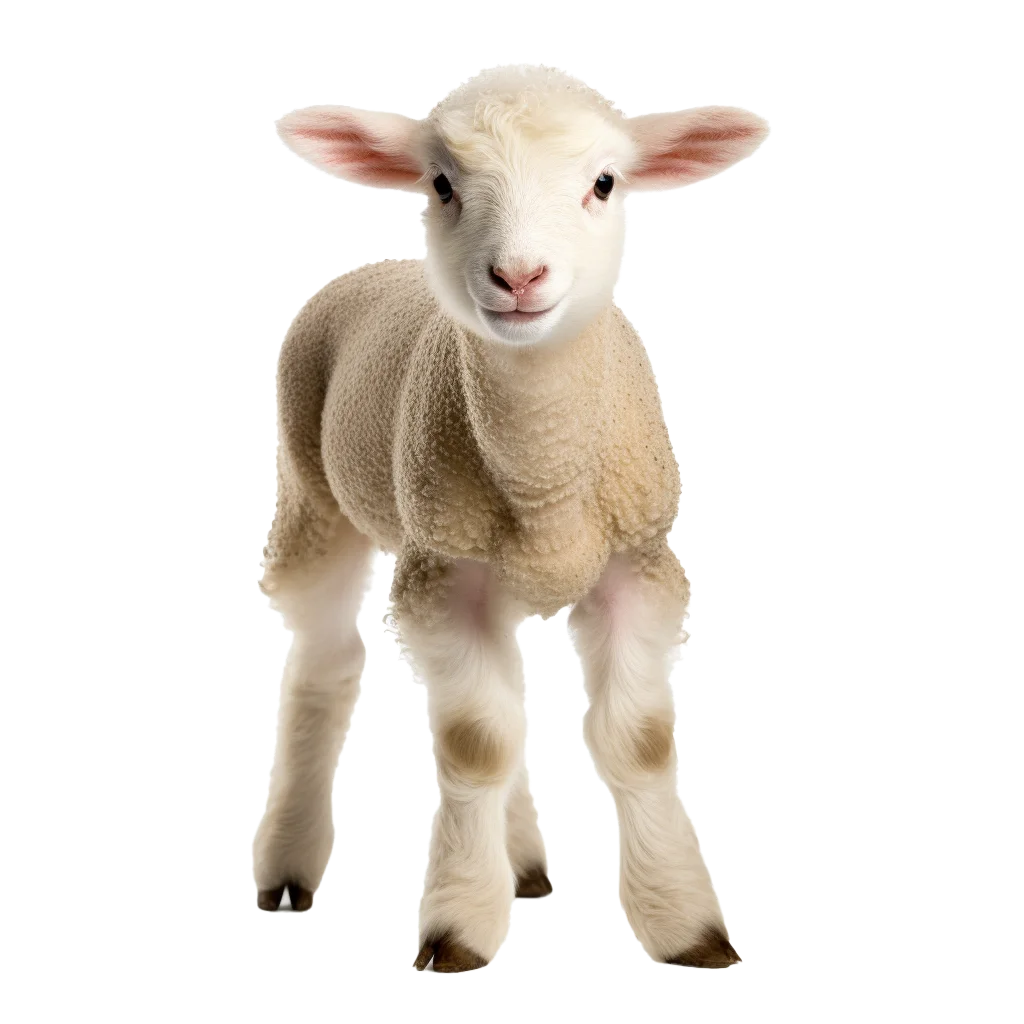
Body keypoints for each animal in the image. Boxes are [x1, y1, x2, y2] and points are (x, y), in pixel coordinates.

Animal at [256, 65, 768, 972]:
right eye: (441, 184)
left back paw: (524, 865)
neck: (542, 478)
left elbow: (637, 743)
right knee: (324, 664)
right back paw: (288, 868)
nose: (520, 276)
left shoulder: (639, 565)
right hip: (311, 497)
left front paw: (688, 927)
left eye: (604, 183)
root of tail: (371, 267)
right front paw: (458, 926)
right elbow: (475, 741)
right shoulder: (440, 575)